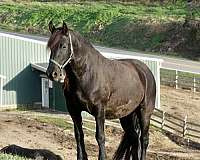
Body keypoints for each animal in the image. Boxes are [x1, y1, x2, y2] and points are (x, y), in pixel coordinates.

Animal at [46, 21, 155, 160]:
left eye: (63, 46)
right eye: (51, 47)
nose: (52, 73)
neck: (87, 74)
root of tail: (145, 71)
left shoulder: (99, 111)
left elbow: (100, 137)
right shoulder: (74, 110)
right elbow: (79, 135)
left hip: (144, 113)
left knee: (144, 139)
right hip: (126, 115)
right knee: (134, 138)